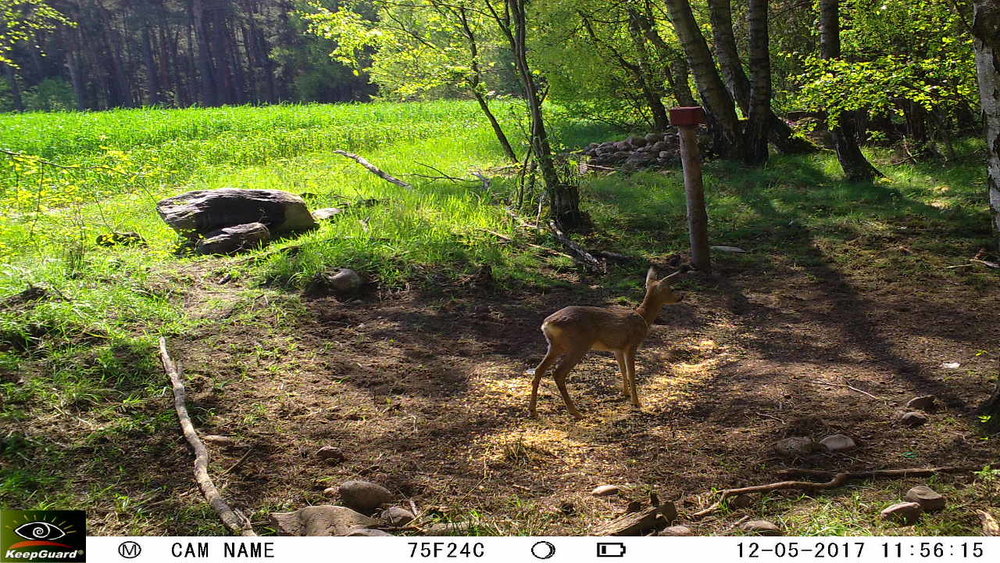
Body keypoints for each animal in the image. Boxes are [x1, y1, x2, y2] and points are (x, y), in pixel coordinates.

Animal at [528, 268, 684, 418]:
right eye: (672, 289)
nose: (681, 296)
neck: (643, 317)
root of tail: (547, 324)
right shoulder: (632, 344)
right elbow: (632, 372)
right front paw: (636, 401)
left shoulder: (617, 348)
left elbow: (622, 370)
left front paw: (626, 393)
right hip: (578, 345)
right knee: (558, 373)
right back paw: (575, 412)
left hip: (555, 346)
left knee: (539, 369)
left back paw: (533, 410)